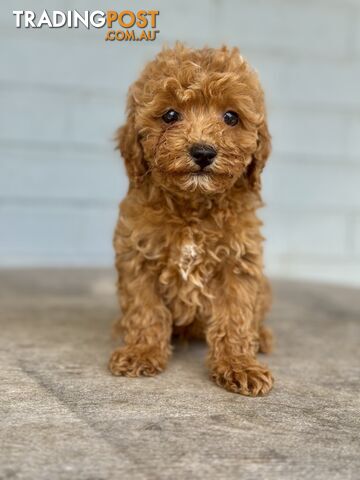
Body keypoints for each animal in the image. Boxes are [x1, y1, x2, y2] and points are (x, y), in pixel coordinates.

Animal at [109, 43, 272, 396]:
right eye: (170, 115)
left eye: (231, 117)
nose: (203, 152)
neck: (193, 206)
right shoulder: (137, 256)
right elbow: (145, 309)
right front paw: (141, 351)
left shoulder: (238, 262)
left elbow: (236, 317)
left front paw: (239, 364)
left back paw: (262, 337)